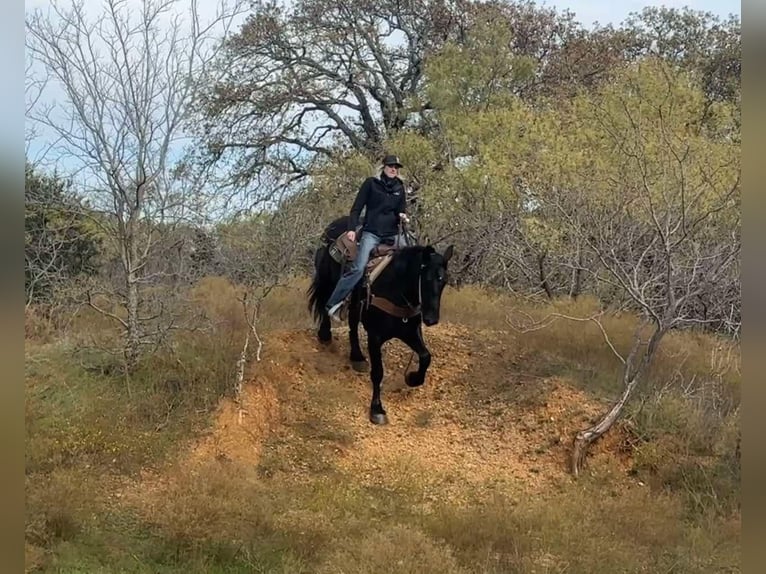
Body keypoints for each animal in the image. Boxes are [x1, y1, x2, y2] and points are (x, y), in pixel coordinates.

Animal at [308, 216, 454, 424]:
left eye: (444, 281)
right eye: (425, 279)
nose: (432, 319)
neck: (395, 288)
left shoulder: (410, 331)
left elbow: (426, 356)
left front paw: (412, 378)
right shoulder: (375, 337)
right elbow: (378, 373)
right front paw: (377, 410)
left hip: (355, 303)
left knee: (352, 324)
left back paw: (357, 357)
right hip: (327, 280)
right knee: (325, 303)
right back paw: (325, 335)